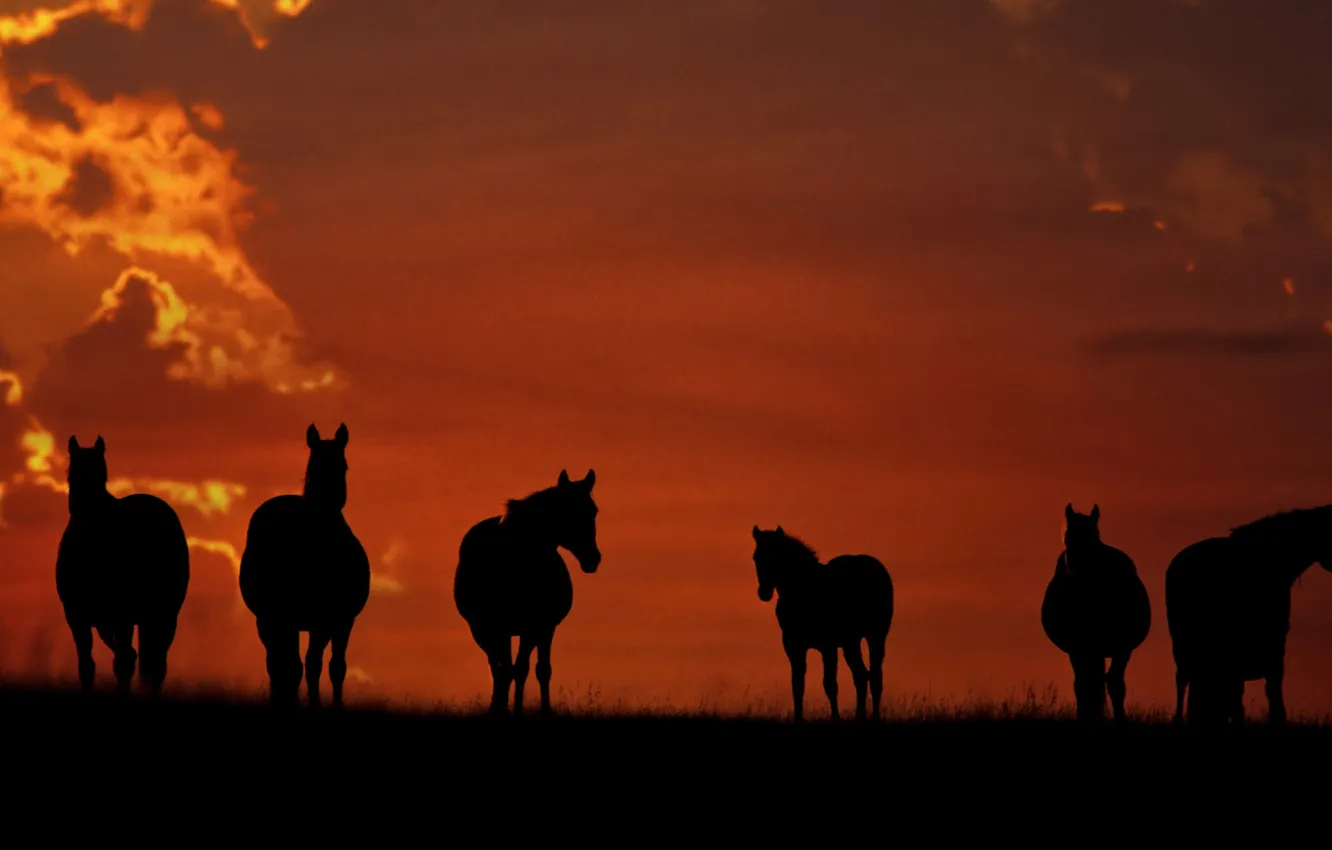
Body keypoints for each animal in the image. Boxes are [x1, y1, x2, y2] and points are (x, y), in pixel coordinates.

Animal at [56, 436, 190, 696]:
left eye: (102, 475)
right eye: (71, 474)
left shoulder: (122, 614)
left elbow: (124, 663)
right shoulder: (76, 616)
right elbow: (87, 665)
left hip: (164, 615)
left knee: (154, 664)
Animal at [239, 423, 370, 708]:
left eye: (343, 466)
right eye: (313, 467)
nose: (328, 503)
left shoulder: (340, 620)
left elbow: (333, 666)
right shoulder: (295, 620)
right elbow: (301, 666)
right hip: (269, 620)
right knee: (279, 664)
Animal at [454, 469, 600, 717]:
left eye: (593, 511)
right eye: (568, 509)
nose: (593, 559)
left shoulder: (542, 626)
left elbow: (537, 669)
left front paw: (541, 711)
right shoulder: (498, 627)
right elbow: (509, 670)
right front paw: (506, 710)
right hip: (484, 631)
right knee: (499, 668)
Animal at [751, 526, 894, 723]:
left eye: (777, 555)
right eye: (756, 557)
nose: (764, 592)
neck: (805, 589)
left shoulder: (828, 646)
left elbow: (830, 684)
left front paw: (836, 719)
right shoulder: (794, 646)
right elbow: (797, 685)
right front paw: (798, 719)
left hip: (876, 636)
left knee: (875, 677)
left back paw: (874, 718)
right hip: (851, 643)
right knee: (861, 676)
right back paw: (860, 716)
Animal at [1040, 504, 1151, 723]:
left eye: (1093, 535)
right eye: (1067, 535)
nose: (1076, 568)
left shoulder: (1122, 648)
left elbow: (1115, 684)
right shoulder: (1077, 648)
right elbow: (1083, 686)